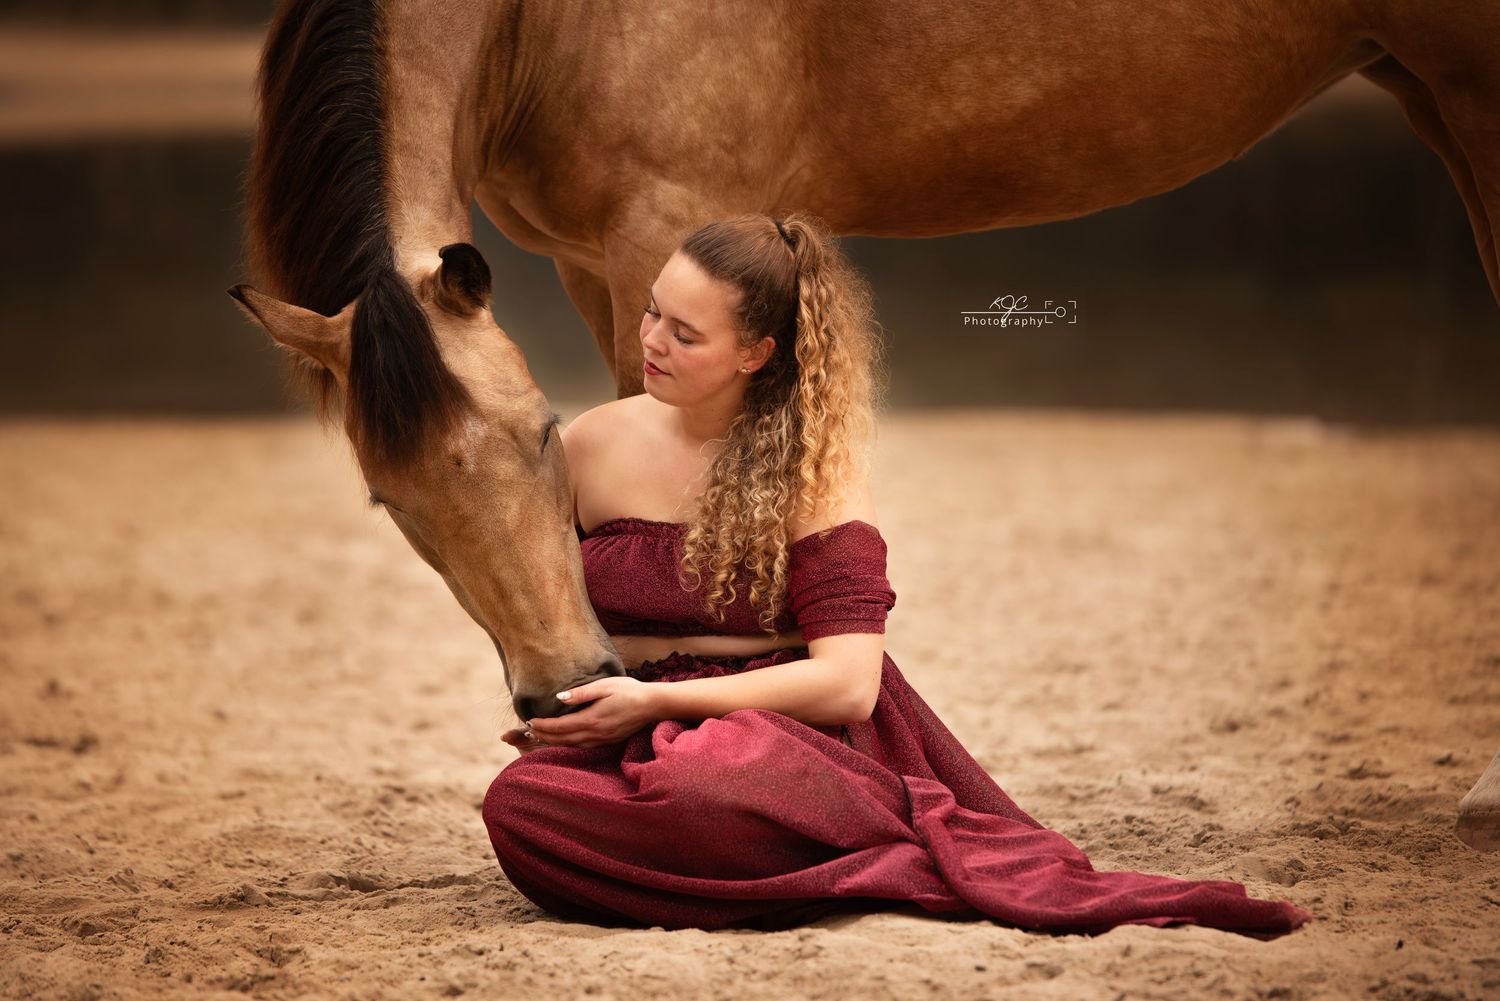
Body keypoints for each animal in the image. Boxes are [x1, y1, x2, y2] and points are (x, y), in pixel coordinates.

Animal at [230, 0, 1500, 847]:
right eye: (389, 497)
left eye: (542, 435)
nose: (559, 687)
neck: (540, 20)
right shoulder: (597, 265)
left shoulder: (670, 218)